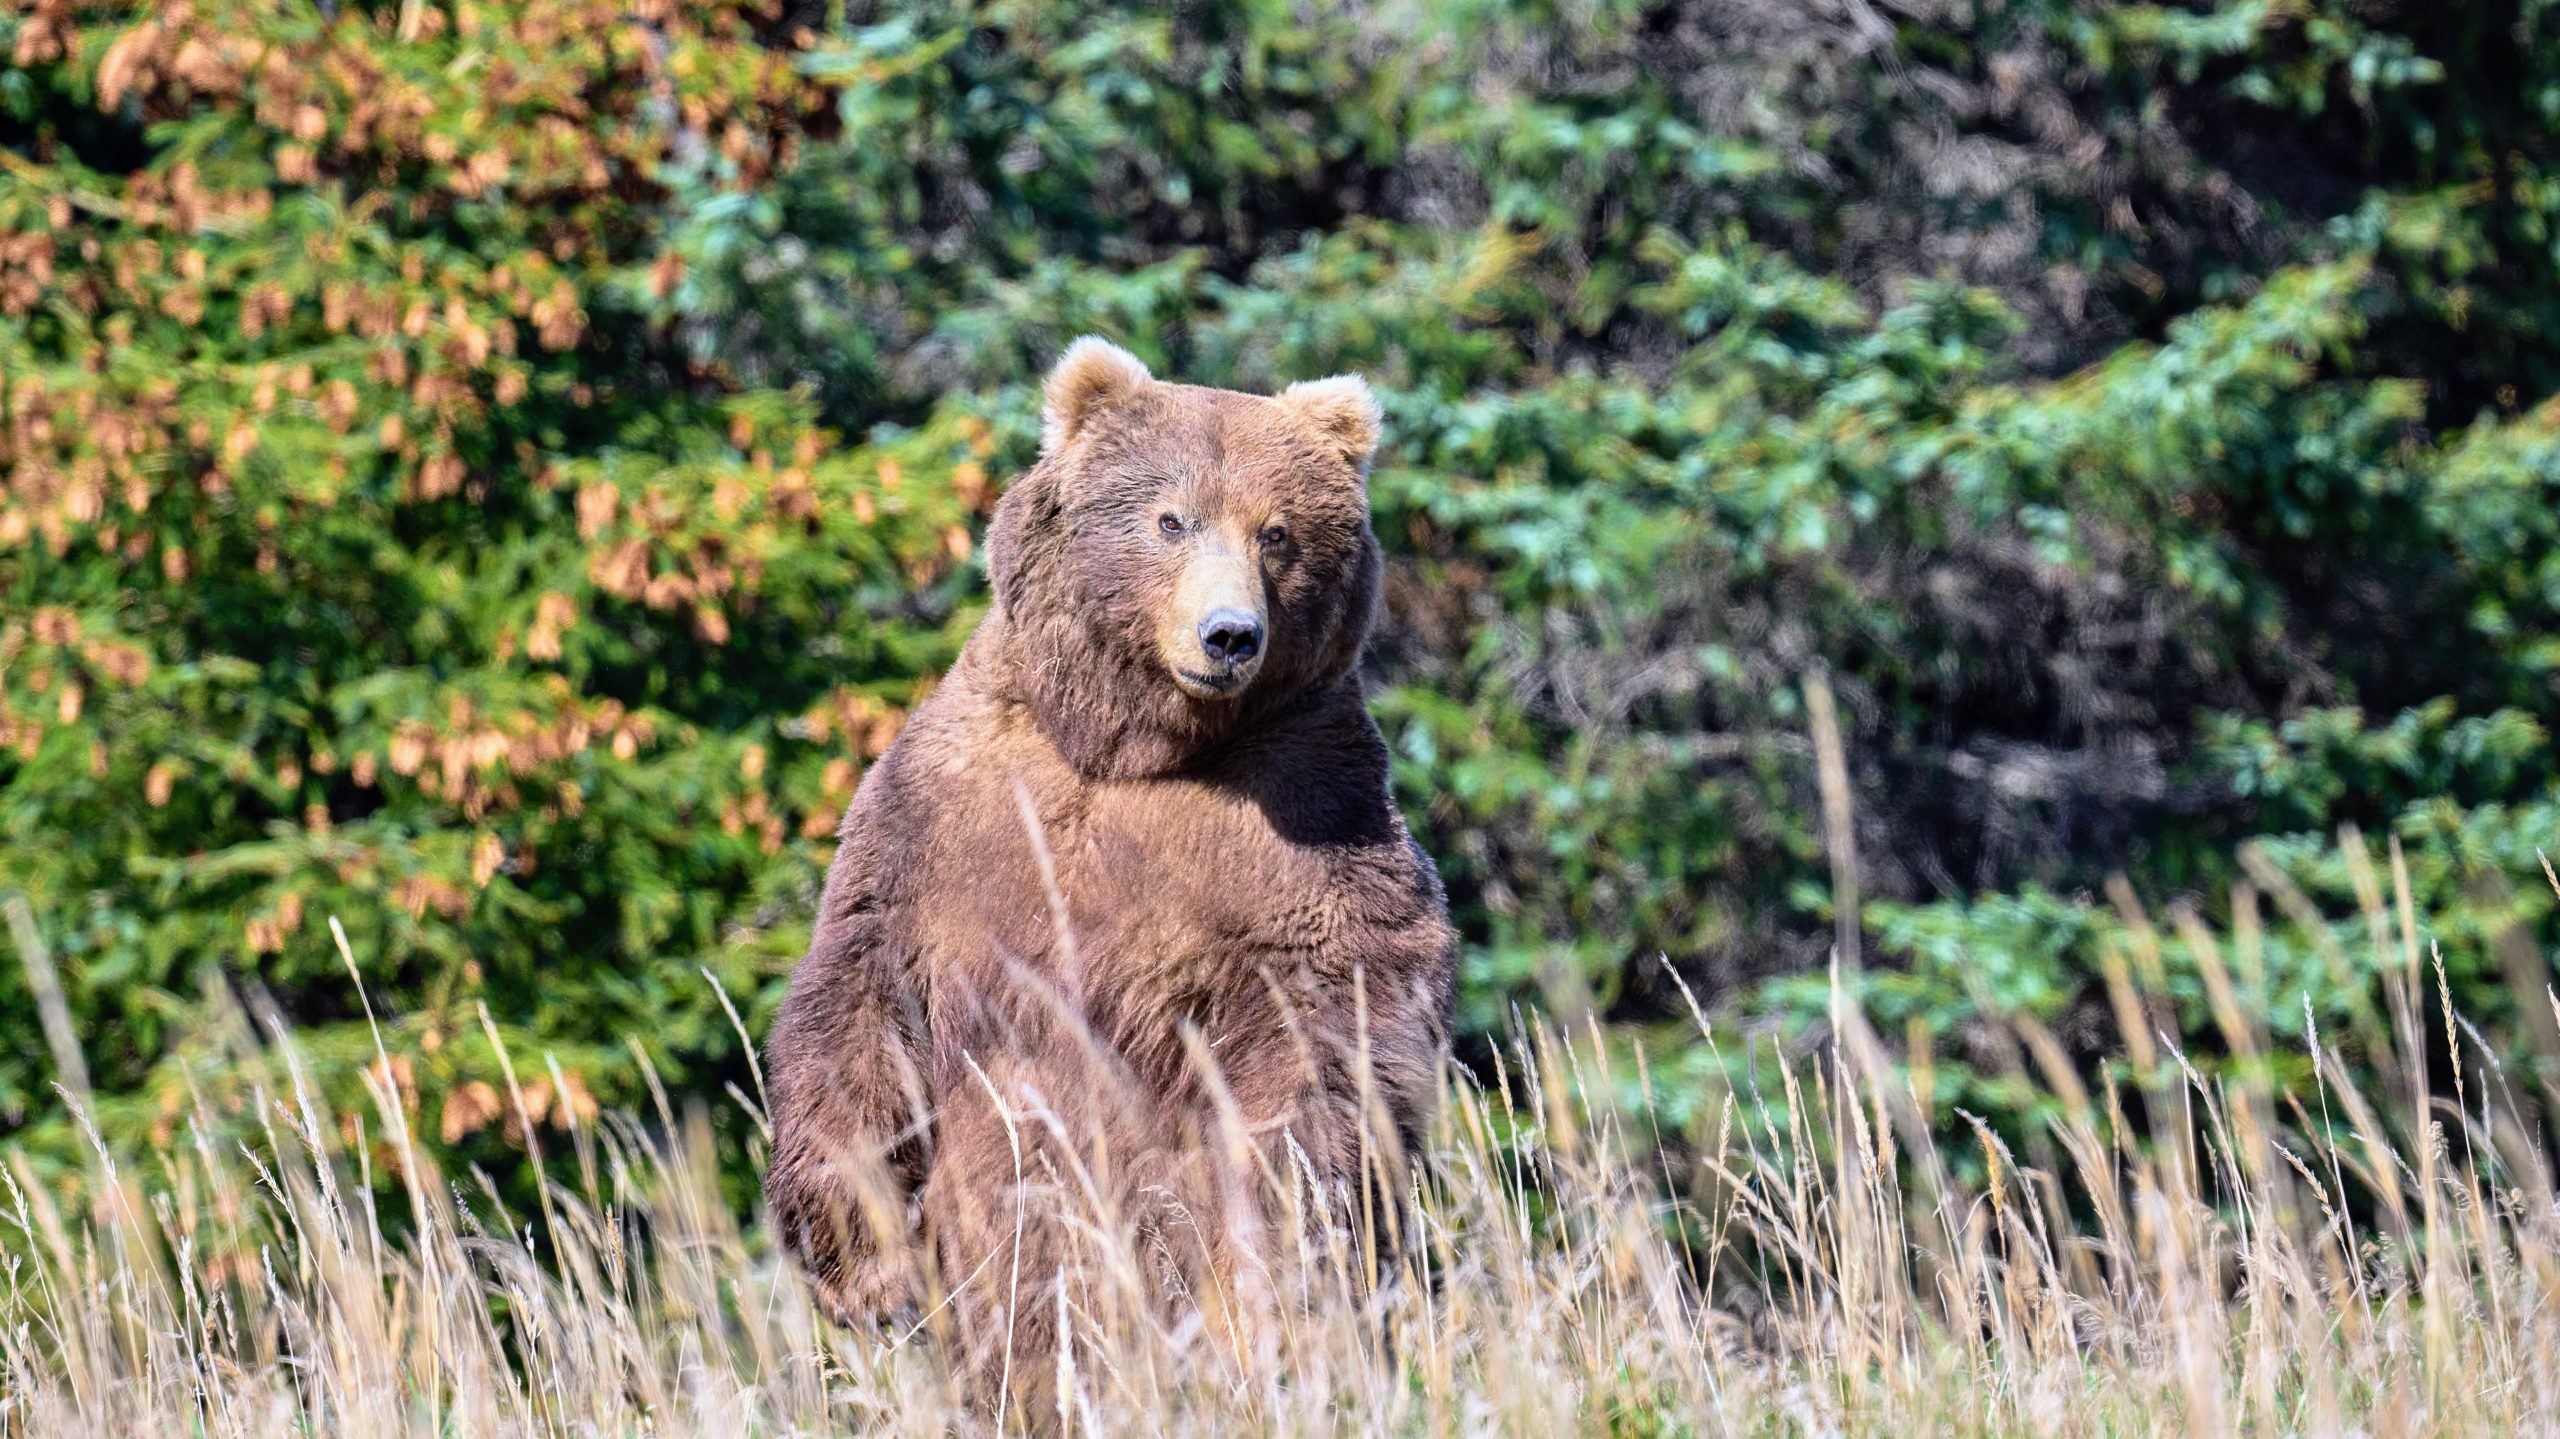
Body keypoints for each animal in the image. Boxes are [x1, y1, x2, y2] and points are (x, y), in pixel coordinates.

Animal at [762, 338, 1456, 1412]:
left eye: (1278, 533)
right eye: (1170, 517)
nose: (1229, 634)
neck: (1134, 745)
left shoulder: (1307, 819)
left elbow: (1326, 1036)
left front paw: (1267, 1280)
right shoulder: (950, 808)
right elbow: (863, 994)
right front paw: (867, 1269)